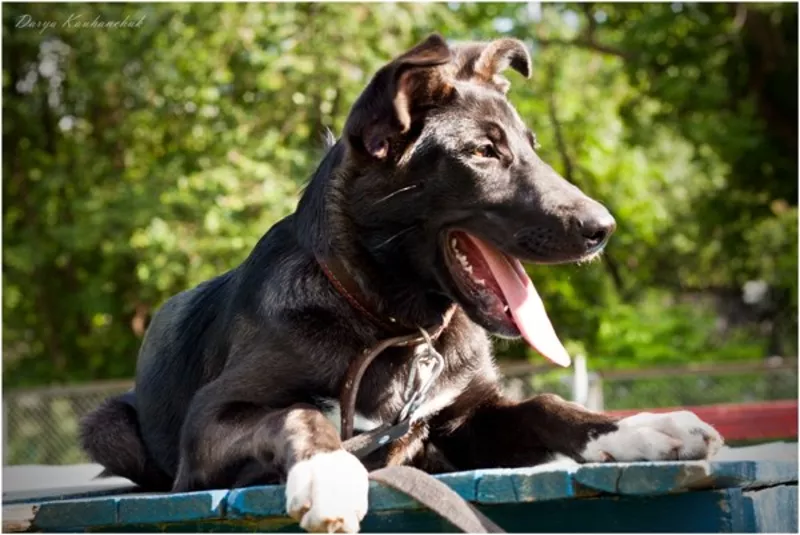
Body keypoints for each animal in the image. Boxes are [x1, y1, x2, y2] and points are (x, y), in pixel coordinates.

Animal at [83, 35, 724, 532]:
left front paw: (639, 428)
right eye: (483, 152)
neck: (389, 324)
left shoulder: (458, 422)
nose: (603, 229)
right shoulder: (207, 428)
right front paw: (329, 469)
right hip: (107, 426)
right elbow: (298, 412)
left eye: (532, 148)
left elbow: (545, 403)